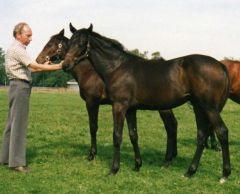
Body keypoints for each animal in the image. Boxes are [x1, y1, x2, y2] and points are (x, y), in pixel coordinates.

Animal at [35, 28, 178, 171]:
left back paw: (168, 160)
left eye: (50, 44)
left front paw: (92, 155)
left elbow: (93, 127)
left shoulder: (92, 102)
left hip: (163, 107)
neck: (89, 72)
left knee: (170, 126)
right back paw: (172, 157)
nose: (38, 60)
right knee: (173, 125)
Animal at [62, 23, 232, 182]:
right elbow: (133, 135)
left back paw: (224, 174)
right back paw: (190, 171)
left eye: (82, 43)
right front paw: (137, 165)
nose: (65, 65)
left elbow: (117, 136)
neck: (117, 68)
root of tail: (220, 65)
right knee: (201, 136)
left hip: (209, 108)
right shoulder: (130, 109)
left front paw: (114, 169)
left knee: (222, 132)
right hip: (198, 107)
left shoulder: (119, 106)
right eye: (69, 43)